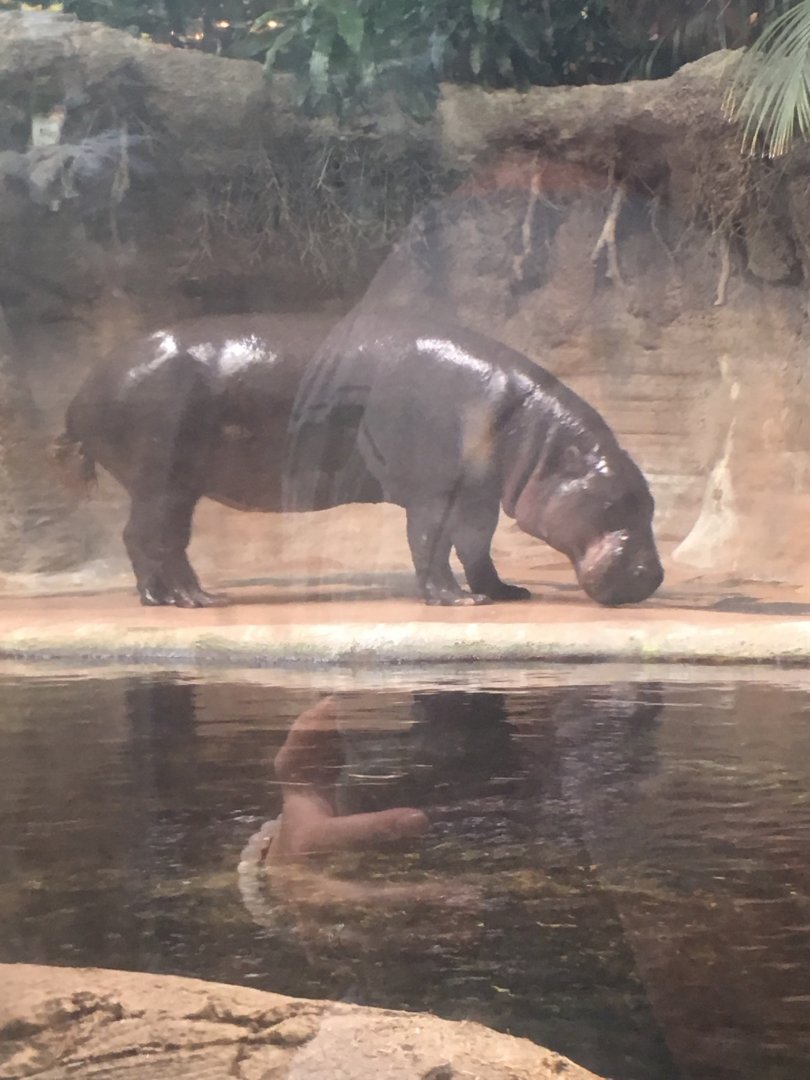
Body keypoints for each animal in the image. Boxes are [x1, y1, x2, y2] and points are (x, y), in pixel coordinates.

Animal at [57, 311, 663, 607]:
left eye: (649, 501)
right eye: (617, 503)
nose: (653, 577)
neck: (536, 436)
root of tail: (81, 392)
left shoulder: (477, 497)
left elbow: (477, 547)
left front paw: (504, 593)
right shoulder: (434, 492)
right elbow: (431, 543)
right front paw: (456, 602)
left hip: (173, 484)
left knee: (155, 538)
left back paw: (181, 597)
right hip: (161, 477)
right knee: (152, 537)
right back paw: (188, 600)